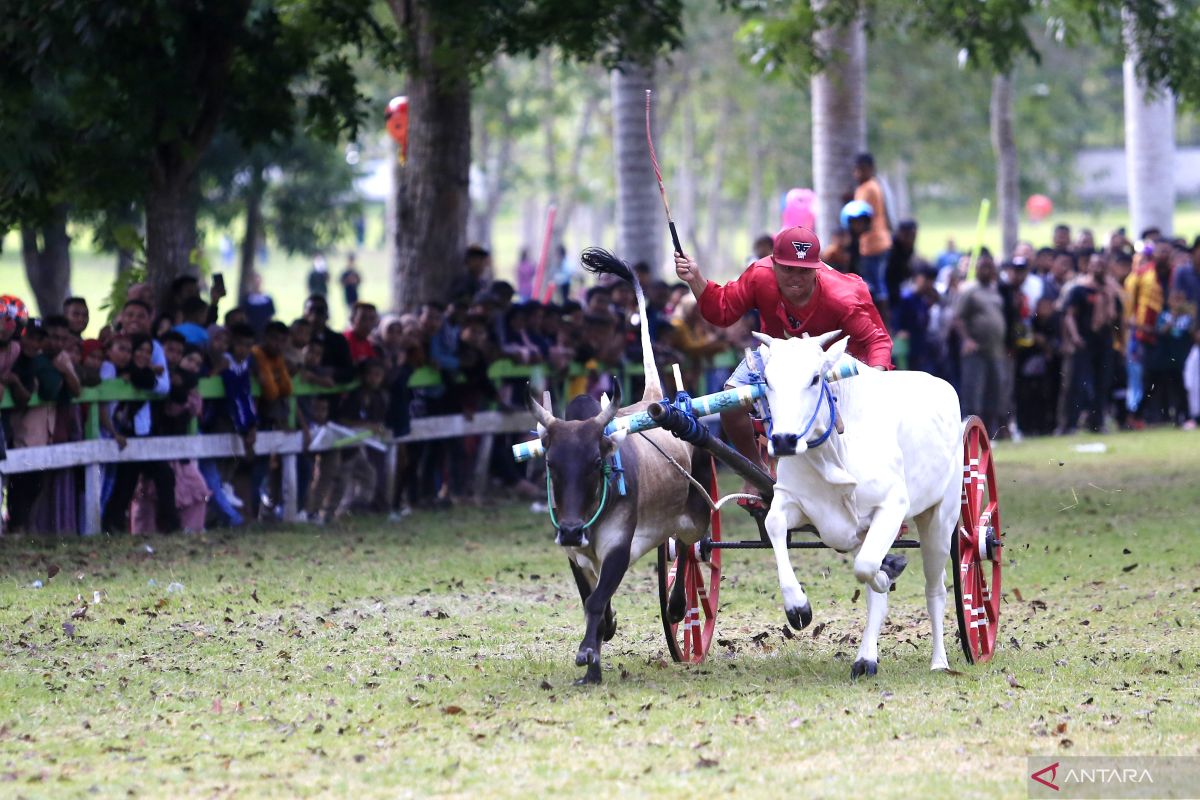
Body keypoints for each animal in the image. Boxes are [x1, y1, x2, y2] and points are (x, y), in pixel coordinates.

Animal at [758, 328, 964, 681]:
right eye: (767, 380)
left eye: (815, 378)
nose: (783, 440)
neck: (833, 451)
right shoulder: (794, 502)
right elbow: (774, 527)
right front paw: (798, 607)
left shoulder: (892, 506)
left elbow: (868, 568)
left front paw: (888, 572)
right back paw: (866, 658)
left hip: (940, 518)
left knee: (935, 590)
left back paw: (939, 661)